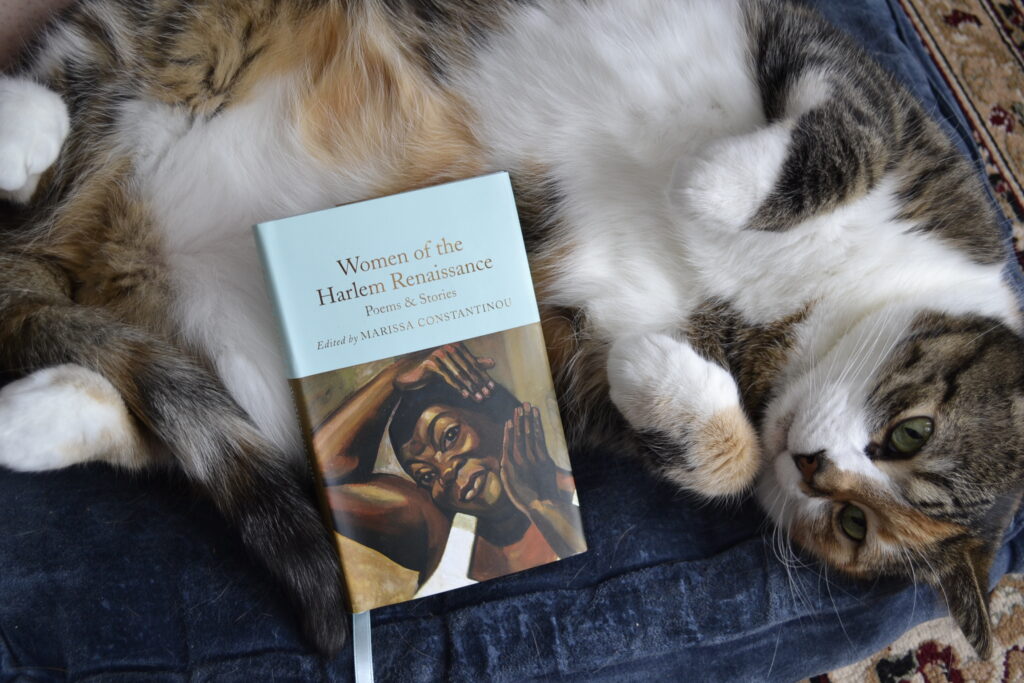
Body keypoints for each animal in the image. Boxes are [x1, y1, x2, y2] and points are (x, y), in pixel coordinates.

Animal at [2, 0, 1024, 659]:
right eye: (910, 432)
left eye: (851, 523)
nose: (812, 464)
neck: (801, 311)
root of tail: (83, 238)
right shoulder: (875, 101)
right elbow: (836, 136)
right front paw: (707, 187)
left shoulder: (573, 354)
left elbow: (716, 454)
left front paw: (668, 378)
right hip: (189, 35)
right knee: (70, 92)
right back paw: (25, 129)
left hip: (239, 359)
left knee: (159, 410)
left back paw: (34, 419)